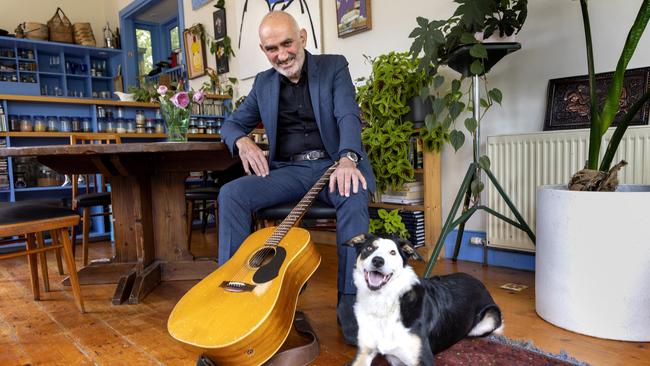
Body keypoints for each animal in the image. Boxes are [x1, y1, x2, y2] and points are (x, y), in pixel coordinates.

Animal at [344, 234, 502, 366]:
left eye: (393, 252)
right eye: (369, 248)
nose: (377, 261)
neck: (383, 301)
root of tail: (478, 281)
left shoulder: (423, 359)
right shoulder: (364, 352)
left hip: (489, 320)